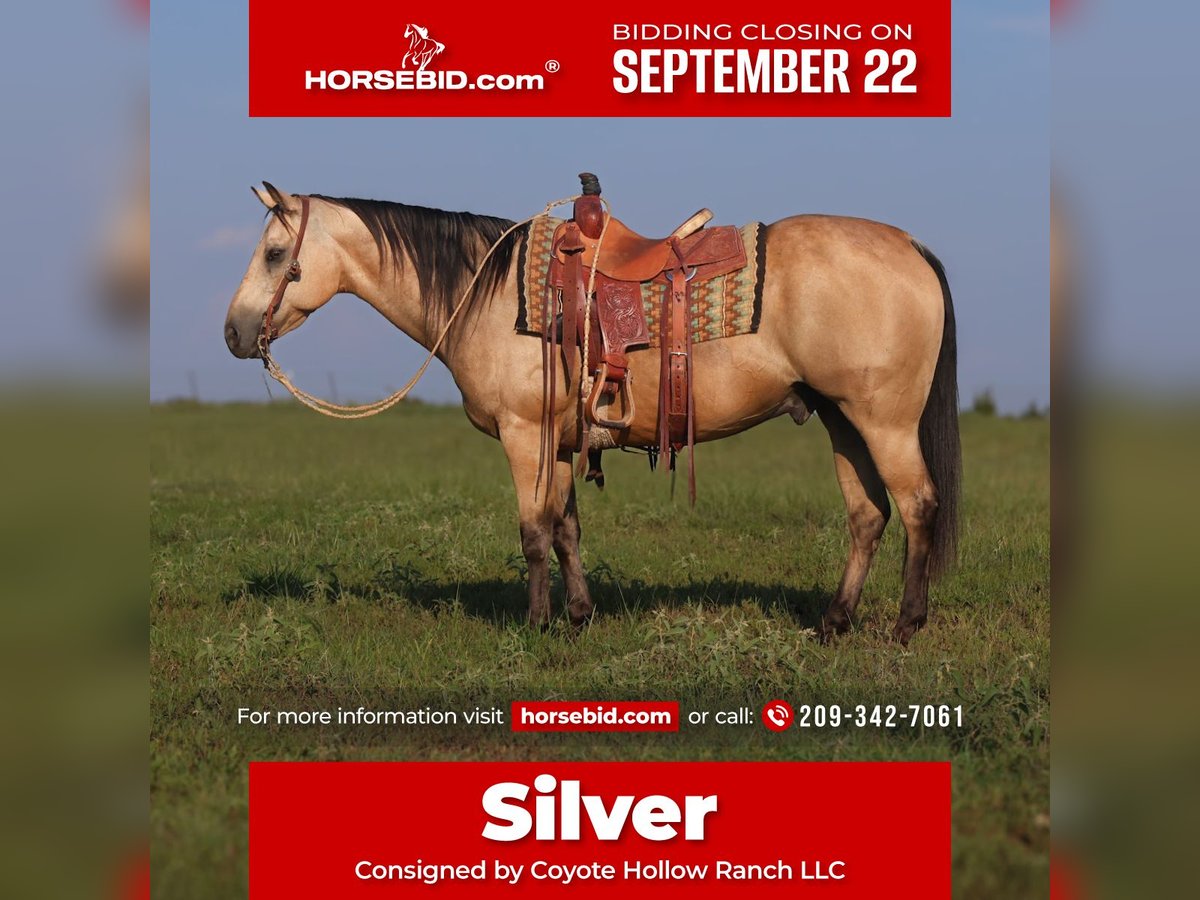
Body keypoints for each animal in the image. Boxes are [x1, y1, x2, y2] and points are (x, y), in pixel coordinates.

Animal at [224, 182, 961, 644]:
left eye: (273, 253)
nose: (233, 333)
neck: (486, 292)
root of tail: (910, 245)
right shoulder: (558, 441)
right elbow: (566, 528)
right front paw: (578, 615)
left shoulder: (524, 435)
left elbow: (532, 532)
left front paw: (537, 625)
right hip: (842, 420)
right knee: (868, 515)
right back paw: (834, 622)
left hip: (883, 421)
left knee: (918, 506)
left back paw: (906, 626)